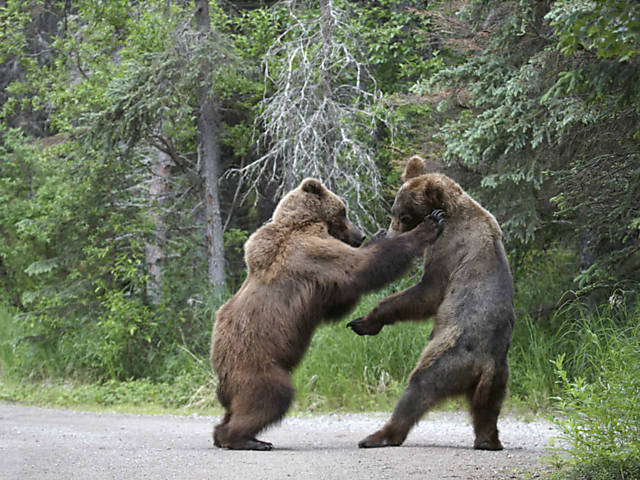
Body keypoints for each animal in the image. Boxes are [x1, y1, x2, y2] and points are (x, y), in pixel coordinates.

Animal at [210, 176, 444, 450]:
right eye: (344, 211)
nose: (360, 234)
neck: (303, 222)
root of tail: (219, 368)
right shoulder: (312, 256)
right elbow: (361, 266)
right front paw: (430, 223)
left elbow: (338, 300)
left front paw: (379, 235)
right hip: (256, 362)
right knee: (270, 395)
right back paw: (245, 439)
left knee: (237, 408)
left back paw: (230, 435)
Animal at [350, 157, 516, 450]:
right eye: (393, 211)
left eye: (404, 216)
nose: (389, 236)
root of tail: (485, 365)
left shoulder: (449, 248)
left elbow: (427, 292)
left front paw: (365, 321)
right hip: (499, 378)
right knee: (487, 409)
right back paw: (488, 441)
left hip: (448, 357)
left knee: (418, 389)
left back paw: (377, 436)